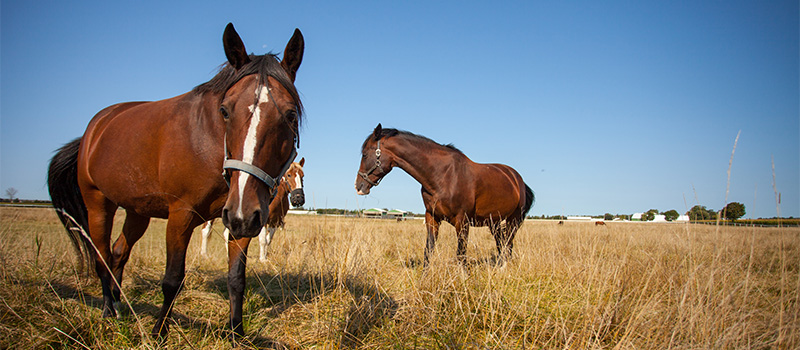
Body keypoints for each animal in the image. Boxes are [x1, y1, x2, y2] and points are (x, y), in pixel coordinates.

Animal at [47, 23, 304, 340]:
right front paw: (159, 333)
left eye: (290, 115)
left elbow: (236, 279)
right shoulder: (182, 216)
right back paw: (108, 311)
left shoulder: (243, 220)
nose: (243, 211)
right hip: (98, 205)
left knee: (118, 253)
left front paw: (237, 333)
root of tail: (93, 130)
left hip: (138, 212)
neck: (209, 146)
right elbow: (172, 279)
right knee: (102, 257)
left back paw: (119, 304)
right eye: (225, 111)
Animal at [354, 124, 532, 264]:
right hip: (493, 221)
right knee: (501, 242)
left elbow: (461, 254)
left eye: (365, 154)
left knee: (508, 243)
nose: (359, 186)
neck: (442, 175)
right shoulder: (432, 218)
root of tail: (517, 178)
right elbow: (428, 251)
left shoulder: (462, 222)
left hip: (514, 220)